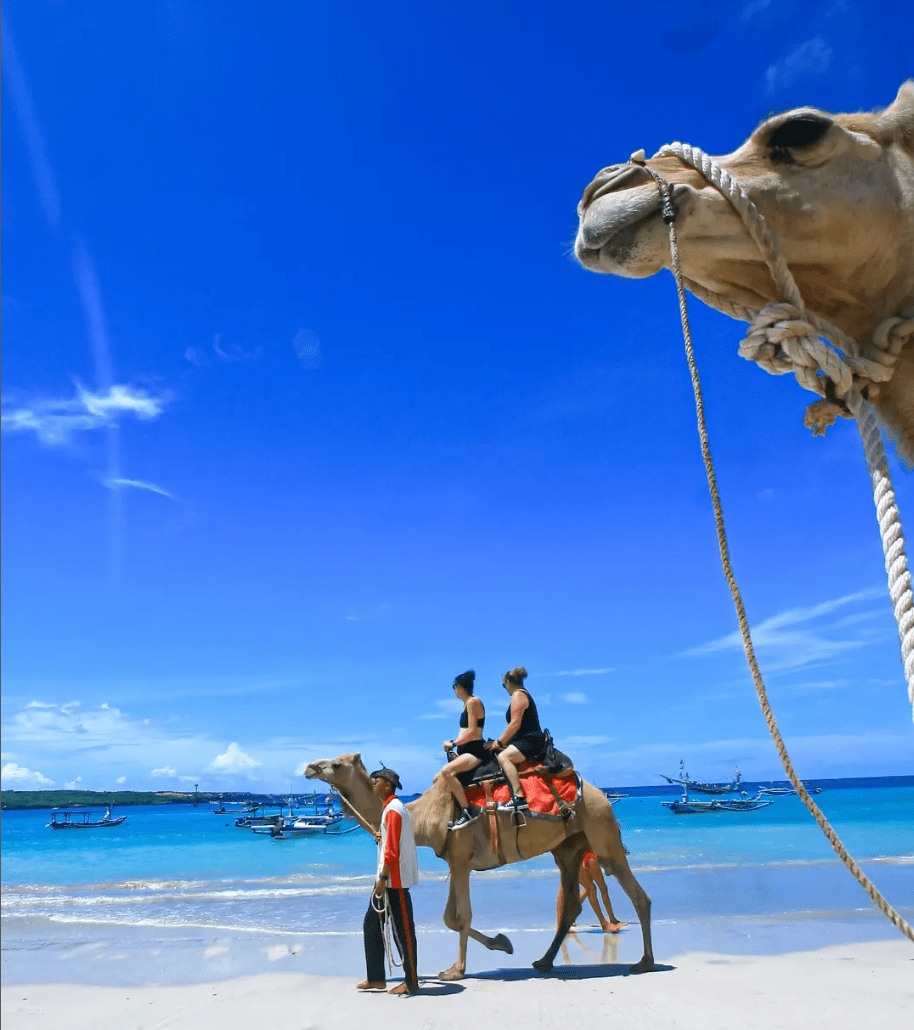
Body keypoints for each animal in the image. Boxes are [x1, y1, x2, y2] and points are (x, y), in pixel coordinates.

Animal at [305, 753, 653, 979]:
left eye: (336, 764)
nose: (309, 767)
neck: (423, 816)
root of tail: (601, 794)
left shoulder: (461, 860)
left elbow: (462, 916)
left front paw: (459, 969)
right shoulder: (456, 861)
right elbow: (449, 917)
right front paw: (500, 944)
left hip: (601, 830)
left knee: (637, 895)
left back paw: (645, 962)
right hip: (568, 849)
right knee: (570, 903)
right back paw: (543, 961)